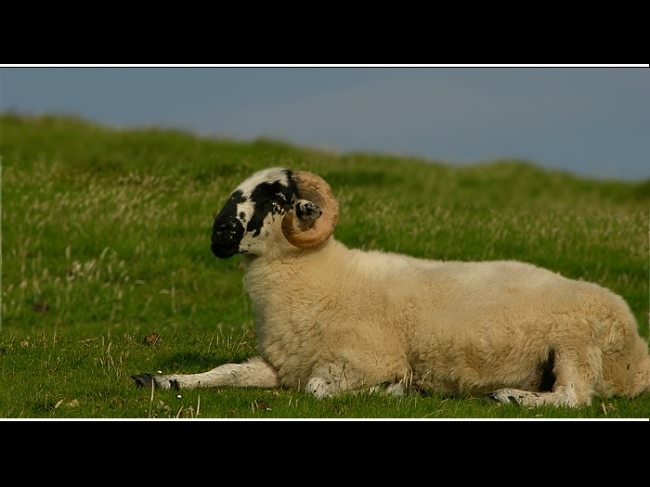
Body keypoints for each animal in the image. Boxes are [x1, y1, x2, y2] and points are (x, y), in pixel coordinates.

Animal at [132, 168, 648, 408]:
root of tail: (637, 351)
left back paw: (508, 397)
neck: (318, 276)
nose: (219, 234)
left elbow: (319, 390)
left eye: (274, 196)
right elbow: (227, 372)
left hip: (574, 343)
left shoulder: (363, 359)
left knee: (575, 396)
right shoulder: (282, 365)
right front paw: (161, 379)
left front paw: (398, 390)